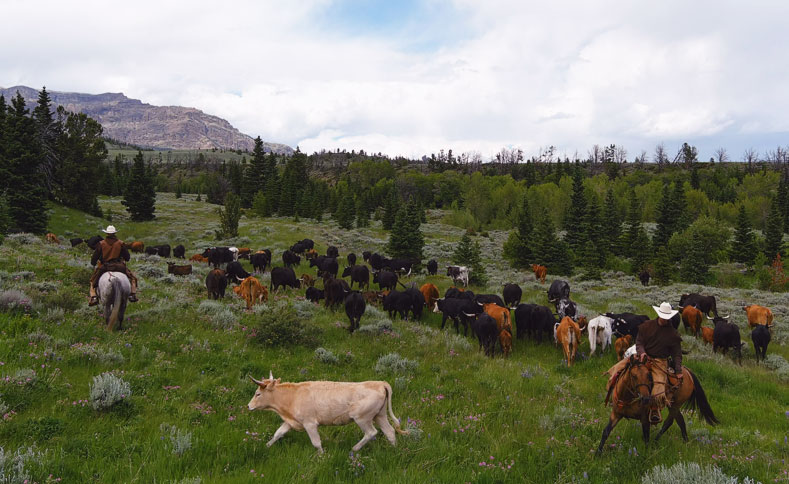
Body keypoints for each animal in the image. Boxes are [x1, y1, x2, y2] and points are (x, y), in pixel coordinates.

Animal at [246, 374, 406, 454]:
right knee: (390, 432)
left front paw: (322, 456)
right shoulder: (291, 421)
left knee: (371, 433)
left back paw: (354, 449)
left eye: (258, 394)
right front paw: (266, 446)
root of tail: (380, 383)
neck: (293, 396)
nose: (248, 406)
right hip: (380, 416)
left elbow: (316, 442)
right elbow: (278, 433)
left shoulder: (310, 423)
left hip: (362, 418)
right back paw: (395, 450)